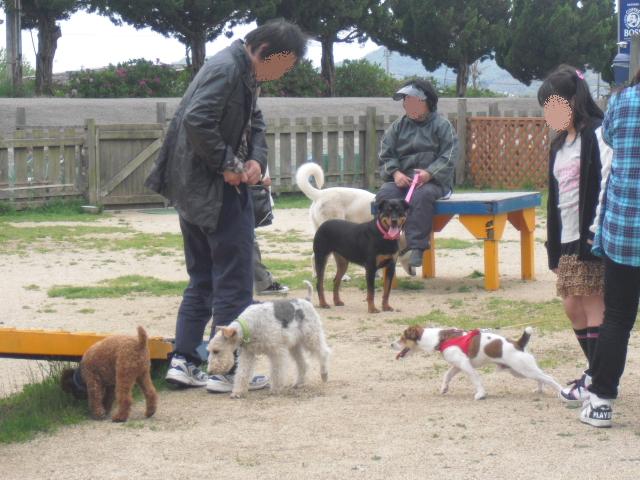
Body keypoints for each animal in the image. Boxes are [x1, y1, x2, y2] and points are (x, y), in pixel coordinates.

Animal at [392, 326, 562, 400]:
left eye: (402, 338)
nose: (391, 344)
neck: (441, 338)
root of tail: (518, 343)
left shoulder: (466, 366)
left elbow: (476, 380)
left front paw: (481, 394)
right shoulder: (457, 366)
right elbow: (447, 376)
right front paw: (444, 388)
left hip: (523, 369)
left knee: (549, 378)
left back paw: (561, 392)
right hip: (520, 371)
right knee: (541, 378)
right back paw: (539, 389)